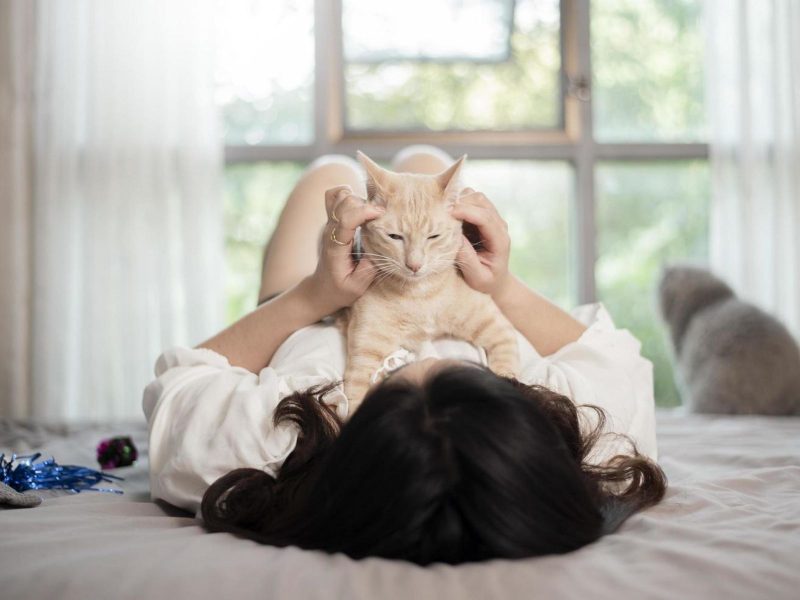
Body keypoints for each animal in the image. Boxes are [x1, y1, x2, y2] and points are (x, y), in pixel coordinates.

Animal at [342, 152, 520, 410]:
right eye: (394, 237)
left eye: (433, 236)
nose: (414, 265)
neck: (421, 295)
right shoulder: (364, 350)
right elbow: (353, 398)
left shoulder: (498, 327)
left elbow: (508, 363)